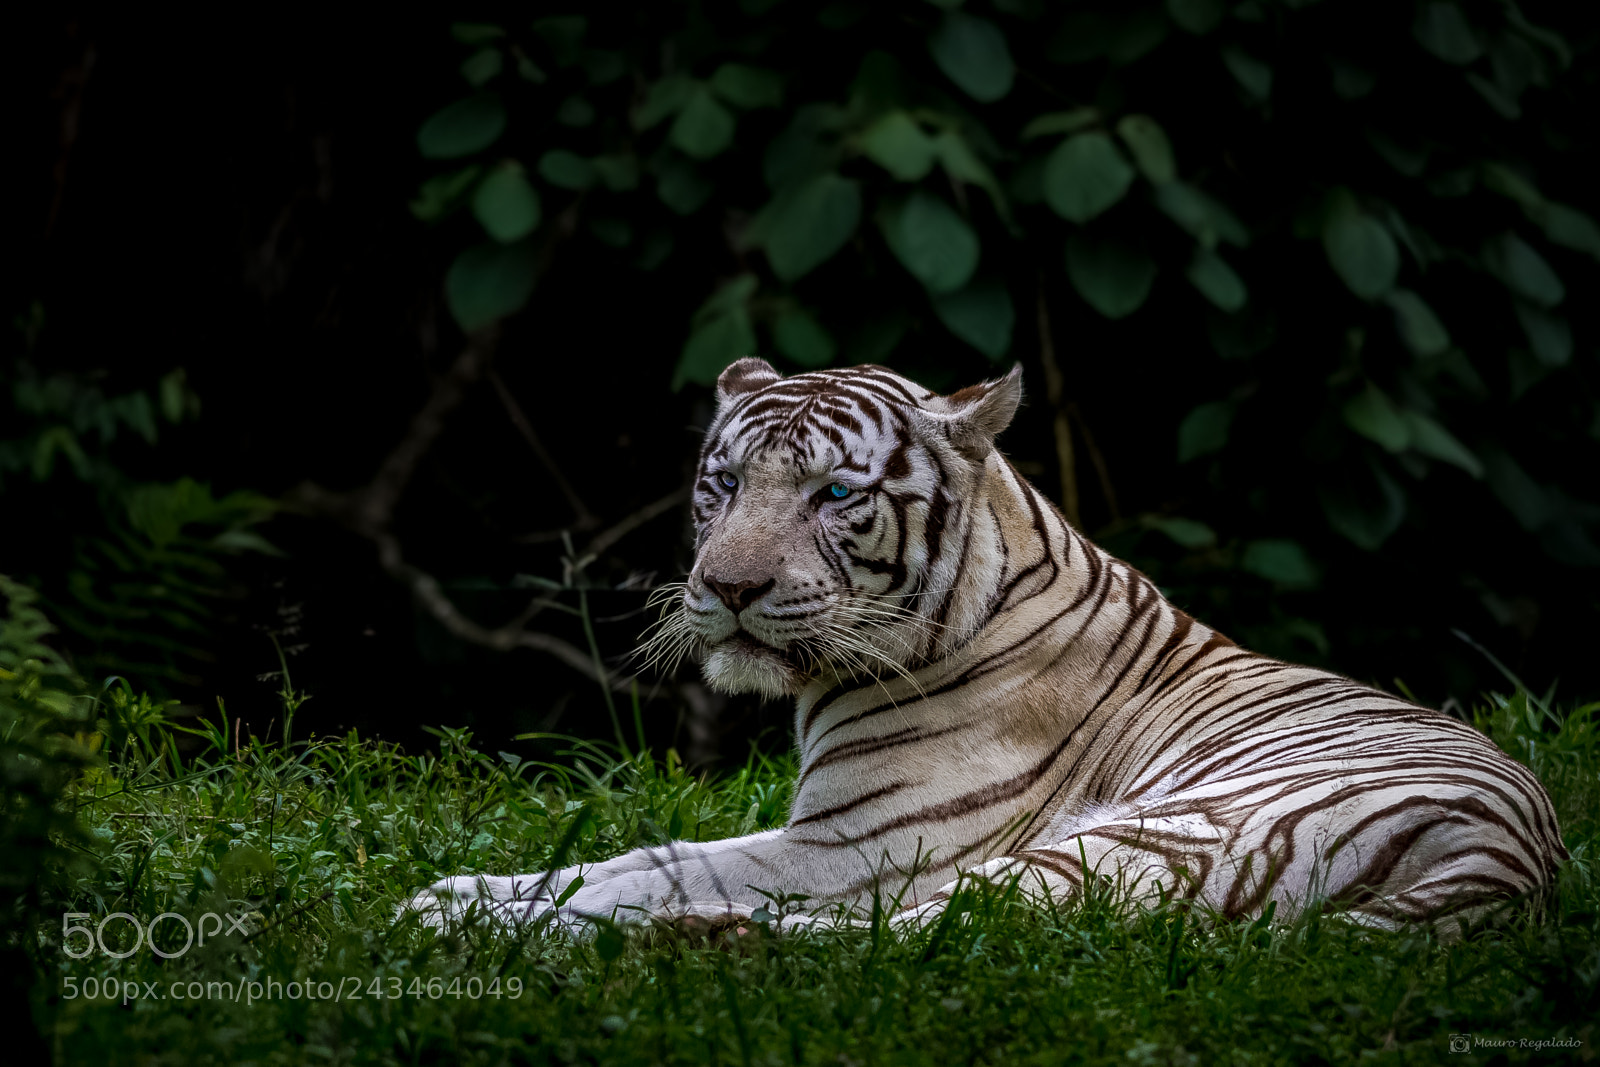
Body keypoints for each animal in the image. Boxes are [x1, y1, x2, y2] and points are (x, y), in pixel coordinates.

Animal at [407, 358, 1566, 935]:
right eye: (725, 481)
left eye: (836, 494)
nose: (727, 589)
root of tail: (1511, 864)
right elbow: (634, 855)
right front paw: (462, 892)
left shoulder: (854, 845)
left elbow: (664, 870)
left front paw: (478, 915)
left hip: (1135, 842)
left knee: (912, 936)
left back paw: (662, 941)